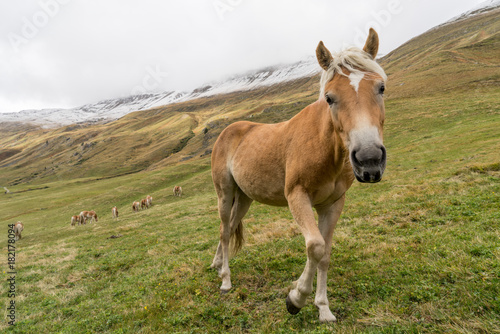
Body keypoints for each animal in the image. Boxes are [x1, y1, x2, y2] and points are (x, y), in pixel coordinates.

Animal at [211, 29, 386, 324]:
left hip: (244, 198)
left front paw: (323, 307)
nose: (369, 160)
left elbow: (325, 253)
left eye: (381, 88)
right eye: (329, 97)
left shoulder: (333, 204)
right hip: (225, 194)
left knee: (231, 228)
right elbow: (315, 246)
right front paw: (296, 298)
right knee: (225, 231)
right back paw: (225, 280)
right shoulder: (297, 196)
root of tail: (228, 130)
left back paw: (216, 263)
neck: (325, 148)